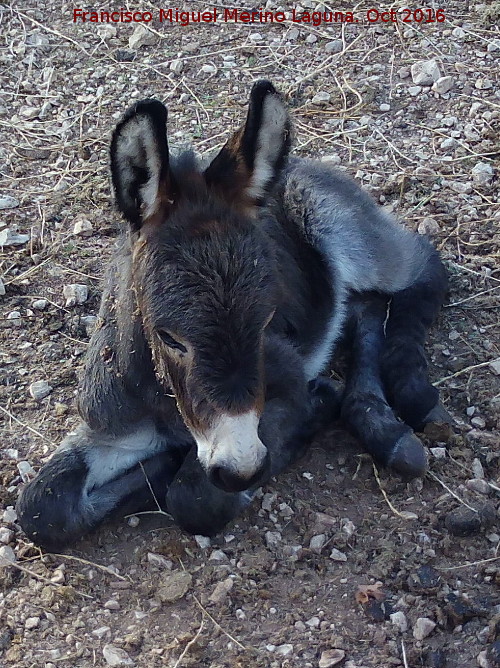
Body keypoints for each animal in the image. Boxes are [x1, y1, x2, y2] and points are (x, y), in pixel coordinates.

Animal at [16, 81, 450, 552]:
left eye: (265, 324)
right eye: (169, 338)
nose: (240, 466)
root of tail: (301, 162)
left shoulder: (284, 387)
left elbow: (195, 498)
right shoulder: (111, 426)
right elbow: (41, 506)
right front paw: (163, 465)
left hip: (341, 230)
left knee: (423, 268)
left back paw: (406, 400)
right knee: (365, 308)